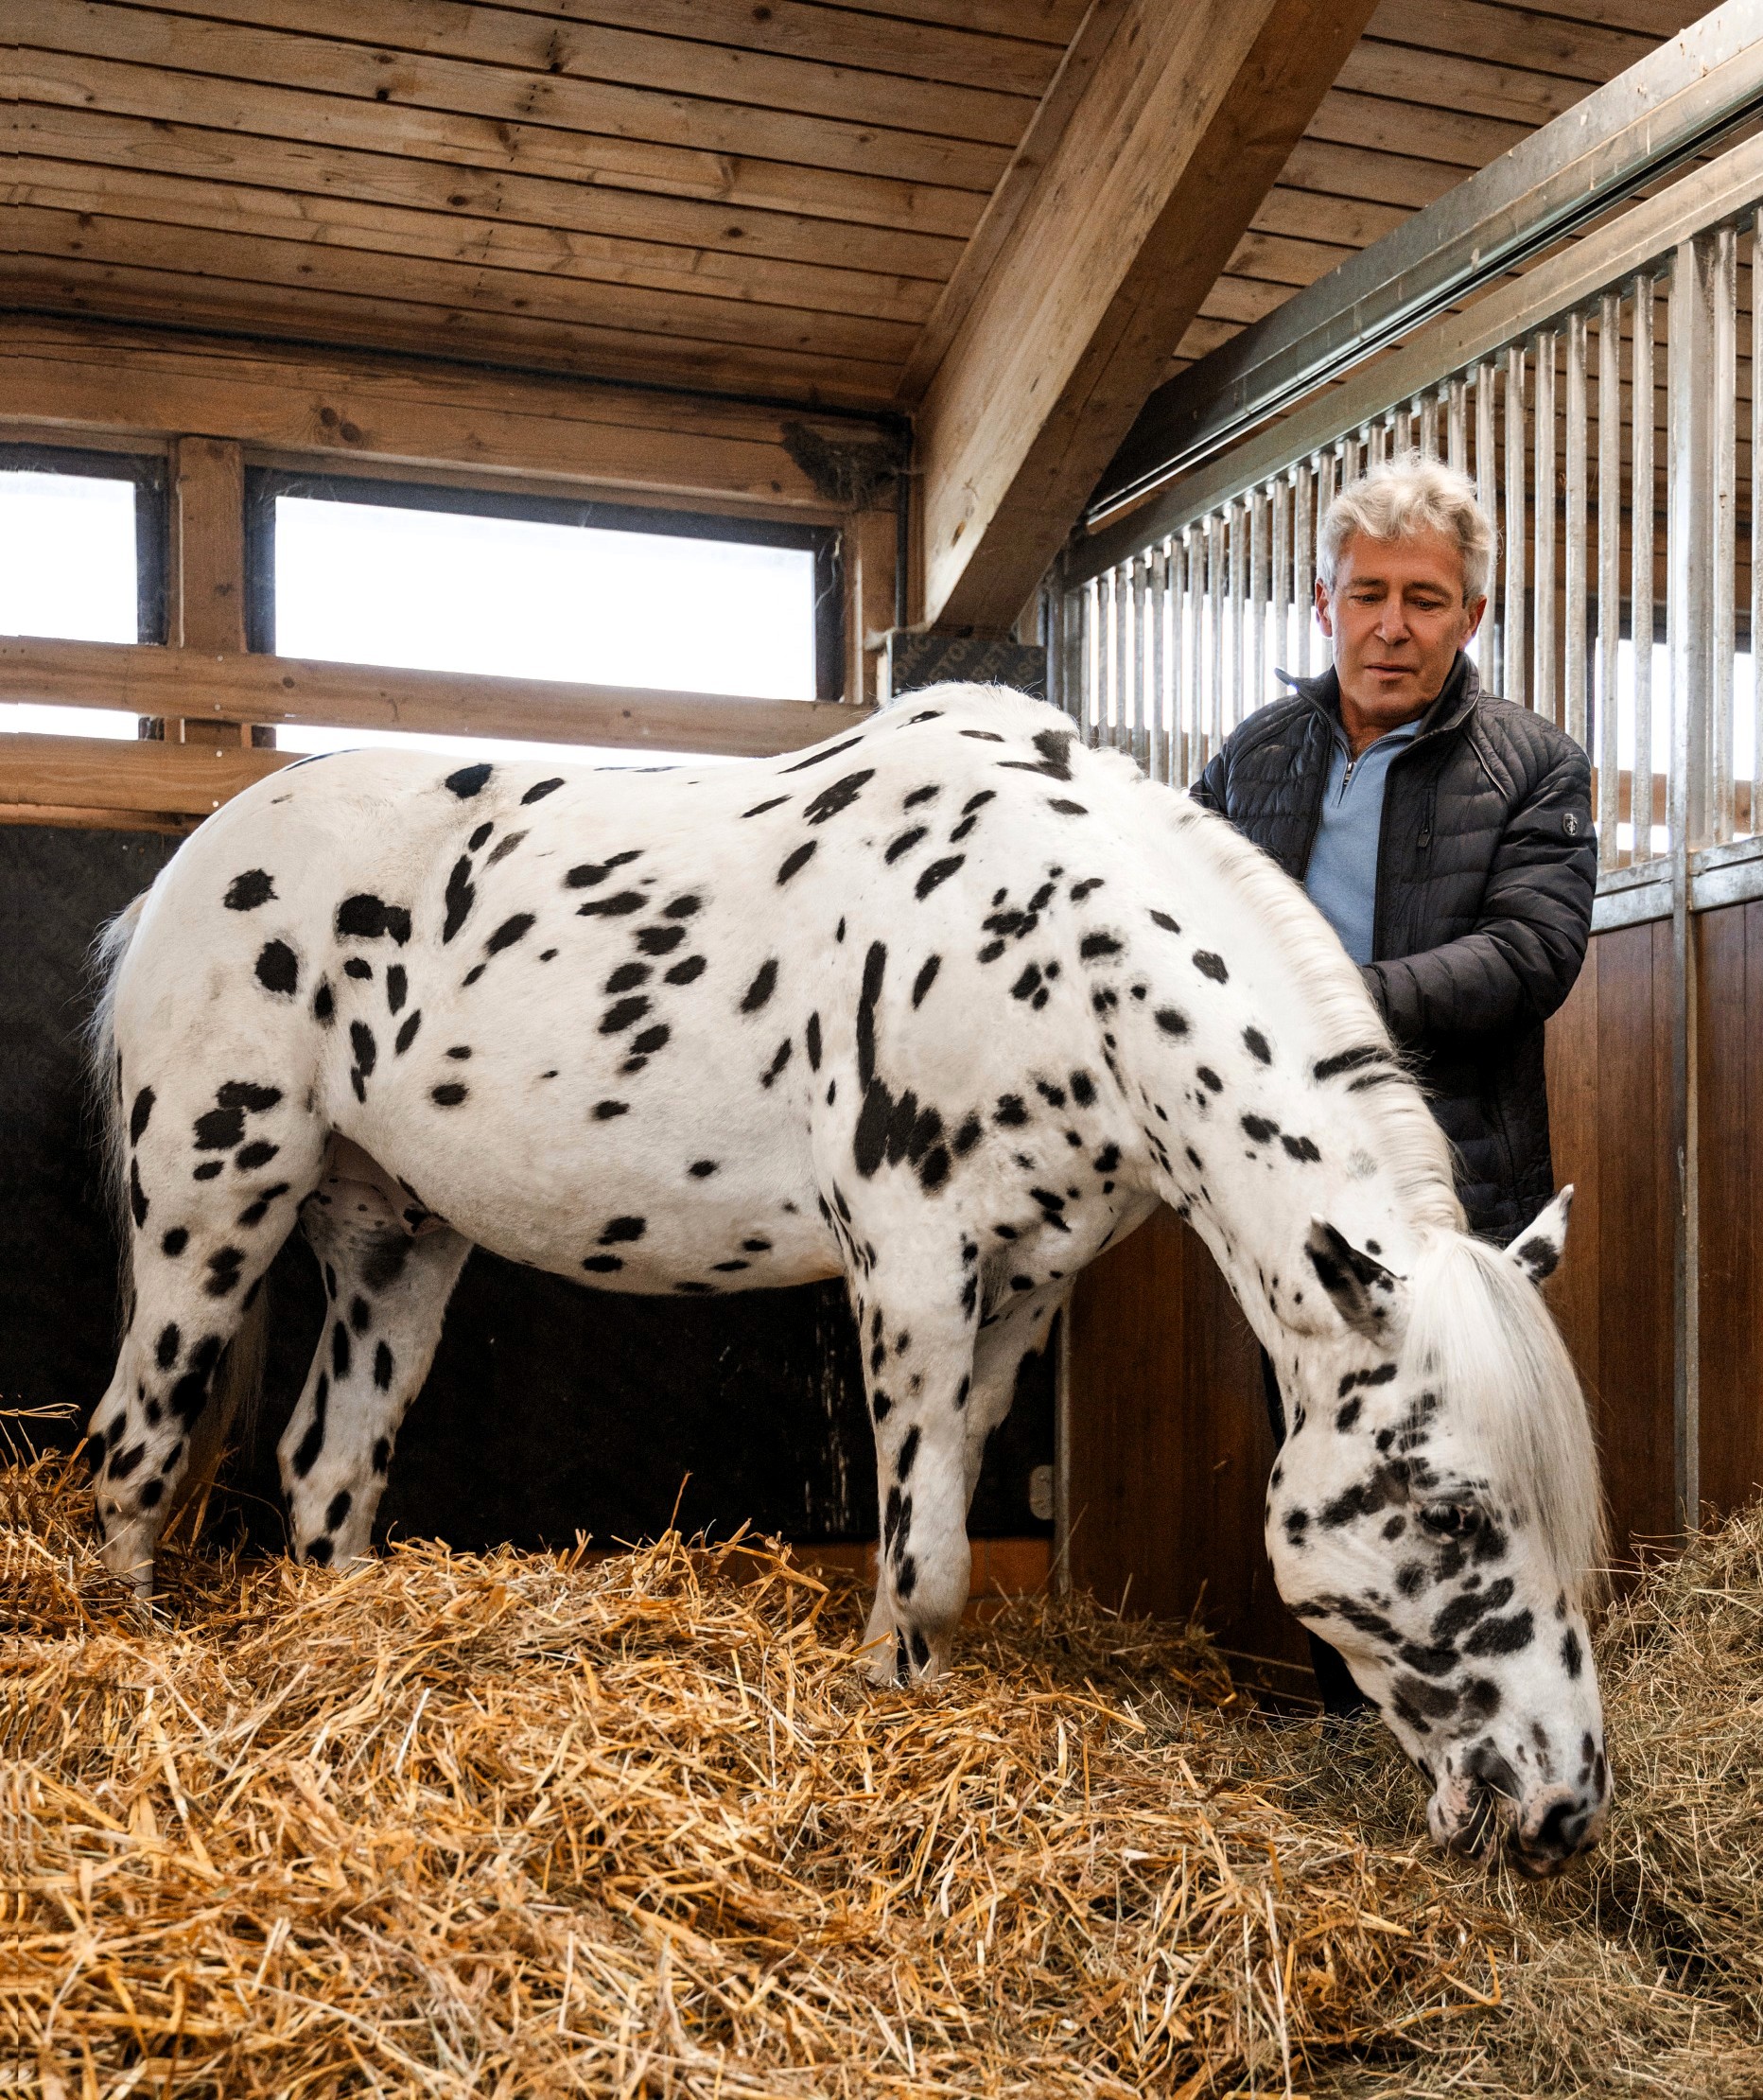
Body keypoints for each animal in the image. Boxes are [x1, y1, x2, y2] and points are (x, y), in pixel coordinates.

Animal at [83, 681, 1608, 1874]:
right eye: (1455, 1515)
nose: (1562, 1805)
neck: (1054, 948)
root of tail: (182, 873)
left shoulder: (1018, 1292)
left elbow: (941, 1517)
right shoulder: (913, 1263)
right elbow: (925, 1557)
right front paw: (888, 1700)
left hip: (394, 1238)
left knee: (326, 1472)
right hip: (212, 1197)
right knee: (129, 1450)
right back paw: (124, 1658)